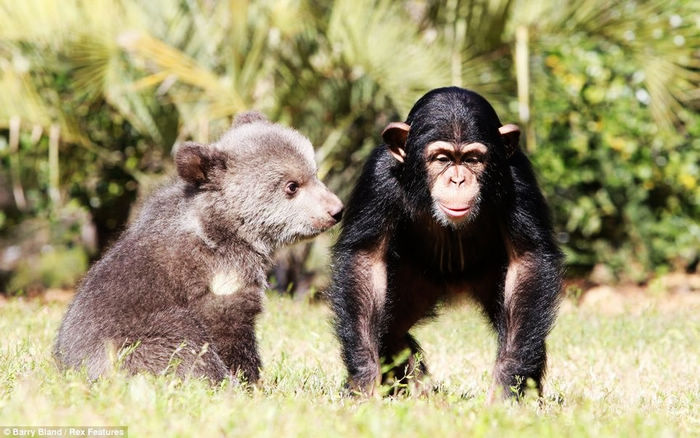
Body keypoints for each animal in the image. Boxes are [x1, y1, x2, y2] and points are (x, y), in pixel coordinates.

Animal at [328, 86, 564, 400]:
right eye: (442, 159)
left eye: (473, 159)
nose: (457, 179)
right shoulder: (378, 177)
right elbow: (365, 260)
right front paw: (363, 381)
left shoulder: (519, 175)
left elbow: (528, 259)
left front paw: (506, 386)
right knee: (391, 328)